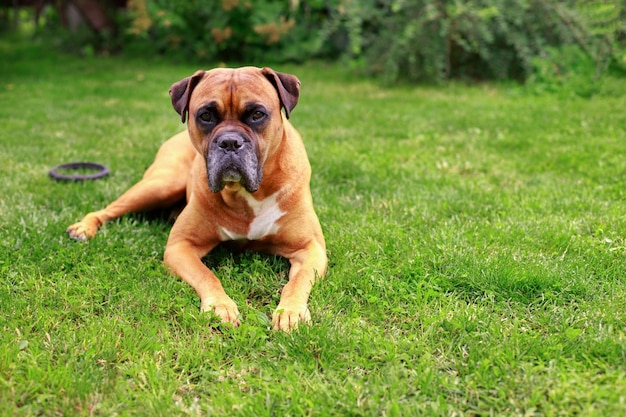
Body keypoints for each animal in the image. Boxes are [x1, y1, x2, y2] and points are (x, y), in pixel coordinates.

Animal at [67, 66, 326, 330]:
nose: (230, 142)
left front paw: (291, 312)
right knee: (107, 210)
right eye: (206, 116)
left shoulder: (310, 249)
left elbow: (297, 281)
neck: (244, 194)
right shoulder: (180, 247)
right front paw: (220, 306)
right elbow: (206, 275)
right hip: (161, 184)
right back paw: (84, 228)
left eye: (256, 114)